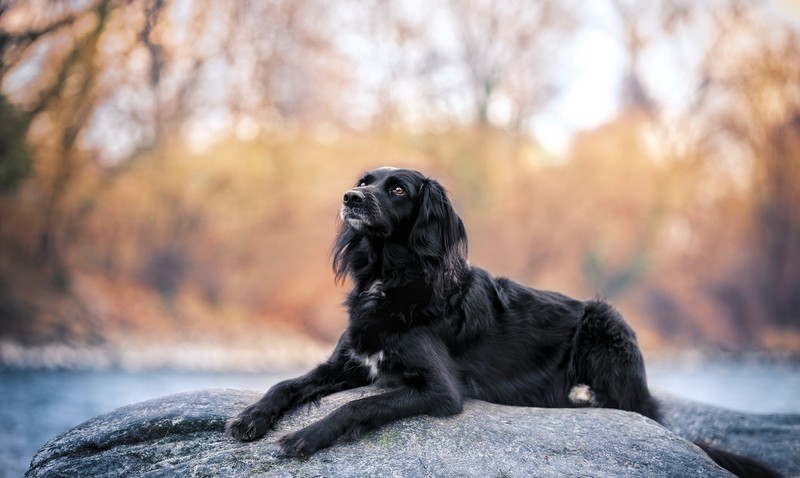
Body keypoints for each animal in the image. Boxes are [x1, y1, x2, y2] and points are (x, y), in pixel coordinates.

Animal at [227, 167, 780, 478]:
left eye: (398, 188)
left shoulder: (438, 390)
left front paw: (305, 437)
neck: (393, 279)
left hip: (605, 317)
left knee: (629, 406)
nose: (349, 198)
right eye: (364, 183)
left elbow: (358, 407)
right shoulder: (351, 361)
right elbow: (286, 384)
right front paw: (250, 418)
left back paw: (582, 397)